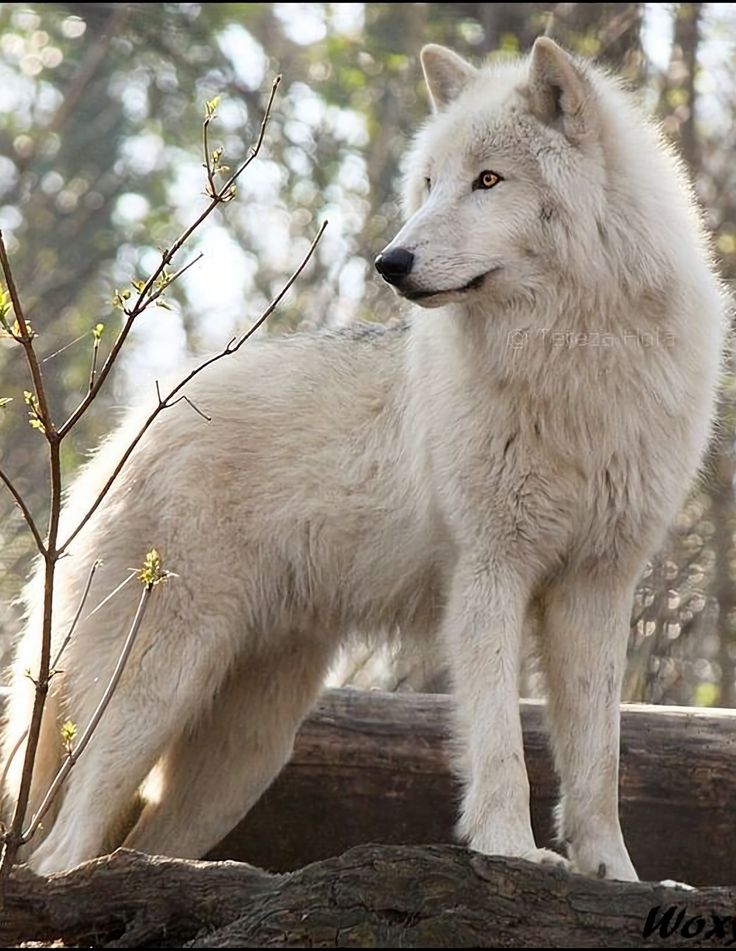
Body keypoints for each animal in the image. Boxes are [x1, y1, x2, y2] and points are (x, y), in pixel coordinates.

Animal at [0, 41, 724, 880]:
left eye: (488, 180)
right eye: (429, 182)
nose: (391, 261)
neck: (574, 355)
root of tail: (116, 442)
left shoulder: (599, 583)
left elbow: (600, 759)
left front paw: (615, 874)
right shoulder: (489, 568)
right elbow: (499, 744)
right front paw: (510, 850)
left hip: (246, 751)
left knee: (132, 840)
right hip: (155, 693)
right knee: (58, 851)